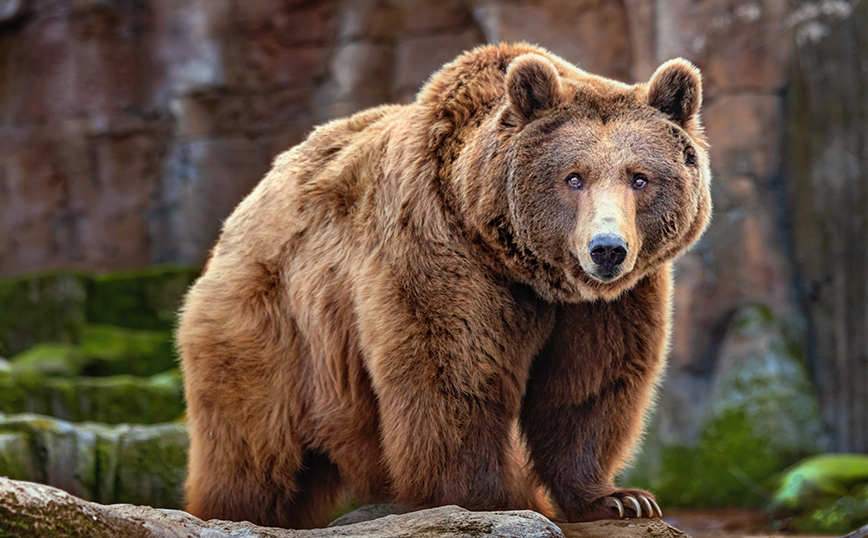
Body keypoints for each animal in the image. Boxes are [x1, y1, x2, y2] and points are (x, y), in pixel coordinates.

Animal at [178, 42, 712, 528]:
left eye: (640, 178)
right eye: (573, 177)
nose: (607, 249)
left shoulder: (610, 303)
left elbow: (590, 386)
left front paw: (620, 498)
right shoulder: (438, 252)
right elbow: (453, 375)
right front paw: (492, 499)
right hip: (273, 325)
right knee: (252, 442)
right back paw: (232, 510)